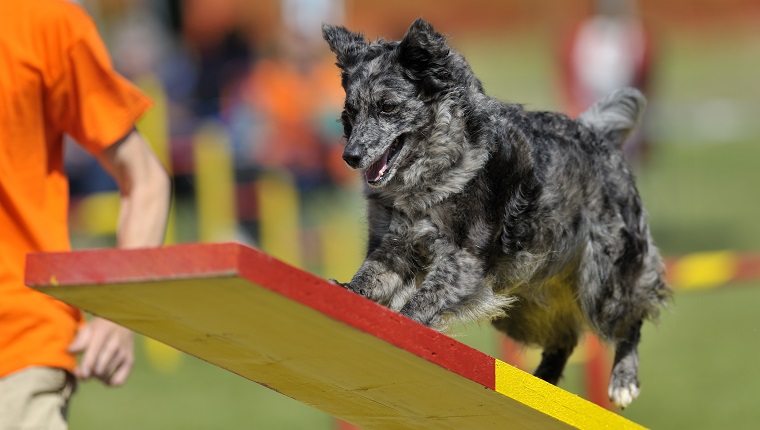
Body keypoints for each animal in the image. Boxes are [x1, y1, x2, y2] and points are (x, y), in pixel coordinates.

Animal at [324, 18, 668, 408]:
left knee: (631, 315)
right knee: (563, 338)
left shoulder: (464, 262)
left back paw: (623, 381)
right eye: (351, 112)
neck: (433, 171)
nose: (350, 157)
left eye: (387, 107)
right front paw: (344, 290)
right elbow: (369, 277)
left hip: (602, 283)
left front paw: (404, 321)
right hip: (525, 302)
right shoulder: (394, 246)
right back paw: (543, 387)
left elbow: (419, 300)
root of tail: (598, 135)